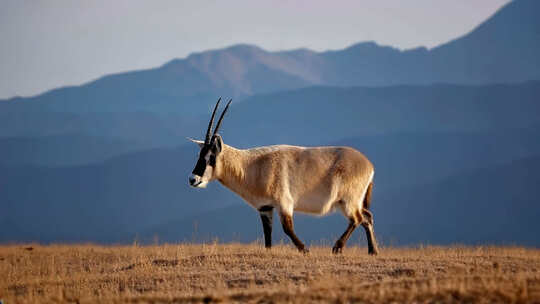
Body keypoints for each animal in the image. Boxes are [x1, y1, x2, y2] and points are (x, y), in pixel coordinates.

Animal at [190, 98, 380, 254]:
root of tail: (368, 164)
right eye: (200, 155)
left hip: (348, 201)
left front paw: (305, 250)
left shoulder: (284, 203)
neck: (253, 165)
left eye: (211, 157)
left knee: (357, 219)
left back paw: (338, 248)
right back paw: (373, 251)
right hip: (348, 202)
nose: (193, 179)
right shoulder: (265, 208)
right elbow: (267, 234)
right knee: (367, 217)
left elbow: (287, 228)